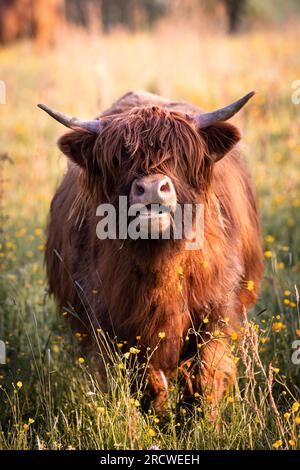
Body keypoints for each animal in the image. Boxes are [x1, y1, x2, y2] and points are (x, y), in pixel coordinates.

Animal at [38, 90, 264, 416]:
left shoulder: (217, 313)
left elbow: (207, 376)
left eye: (181, 156)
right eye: (118, 158)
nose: (153, 188)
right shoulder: (111, 325)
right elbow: (146, 380)